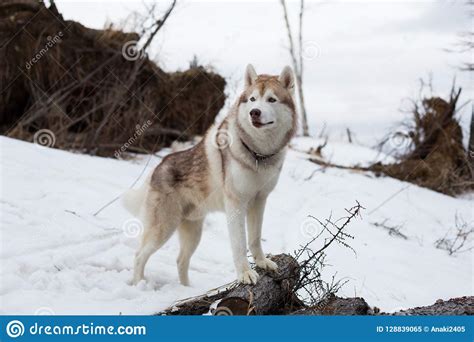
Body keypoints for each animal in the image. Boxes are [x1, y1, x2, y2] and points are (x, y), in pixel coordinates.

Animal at [124, 65, 298, 286]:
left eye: (271, 99)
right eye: (252, 99)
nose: (254, 113)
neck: (258, 153)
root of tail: (159, 166)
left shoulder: (259, 201)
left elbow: (255, 239)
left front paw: (262, 263)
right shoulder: (236, 204)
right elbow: (240, 244)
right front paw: (245, 274)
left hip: (193, 233)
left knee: (180, 261)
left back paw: (186, 289)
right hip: (163, 229)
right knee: (139, 255)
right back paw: (139, 283)